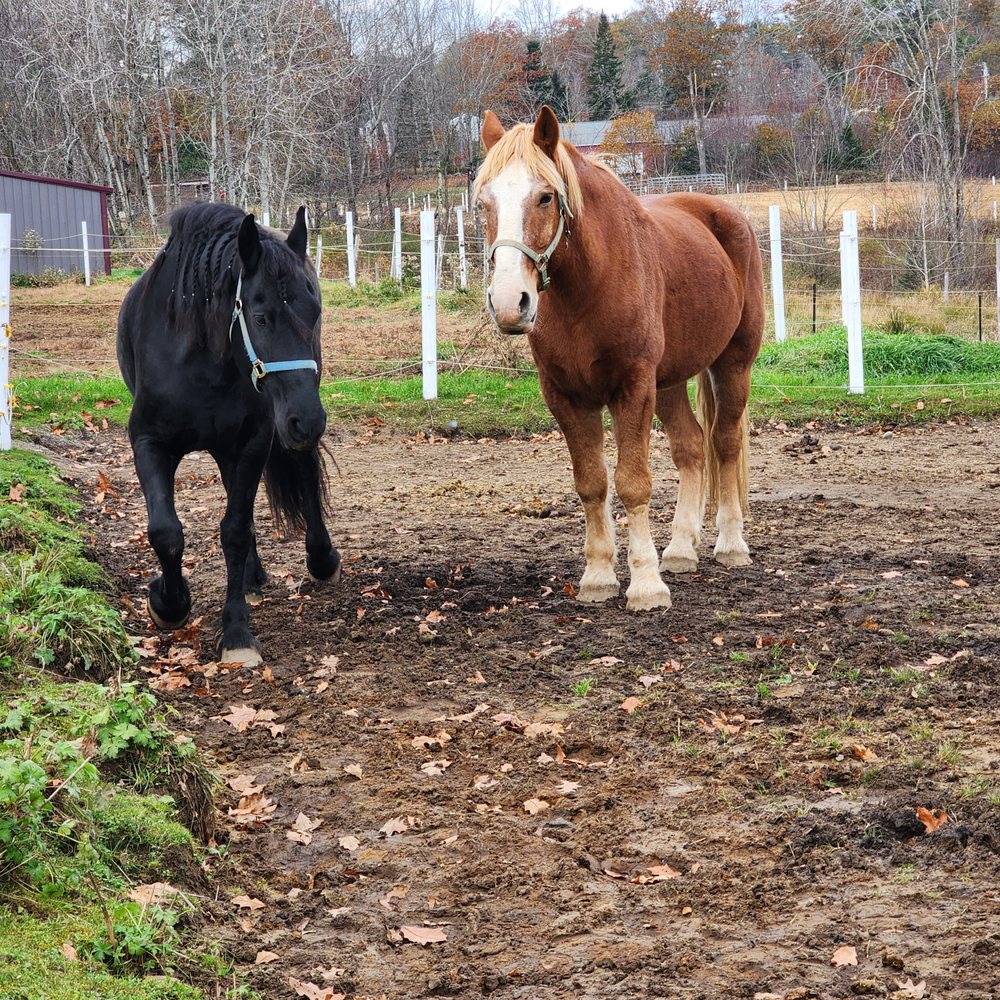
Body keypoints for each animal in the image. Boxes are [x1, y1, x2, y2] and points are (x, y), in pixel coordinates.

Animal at [117, 202, 341, 664]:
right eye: (260, 317)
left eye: (315, 312)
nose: (307, 420)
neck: (204, 361)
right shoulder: (148, 442)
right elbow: (166, 532)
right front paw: (167, 602)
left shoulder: (255, 441)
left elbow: (235, 530)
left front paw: (236, 631)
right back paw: (252, 577)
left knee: (304, 473)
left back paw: (321, 557)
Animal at [474, 106, 764, 612]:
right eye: (484, 203)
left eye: (545, 197)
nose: (510, 303)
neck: (589, 287)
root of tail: (729, 216)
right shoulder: (565, 396)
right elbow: (591, 483)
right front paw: (598, 577)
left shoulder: (633, 387)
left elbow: (633, 482)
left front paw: (646, 584)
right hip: (669, 381)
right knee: (691, 448)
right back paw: (681, 549)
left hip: (732, 364)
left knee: (724, 443)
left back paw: (730, 544)